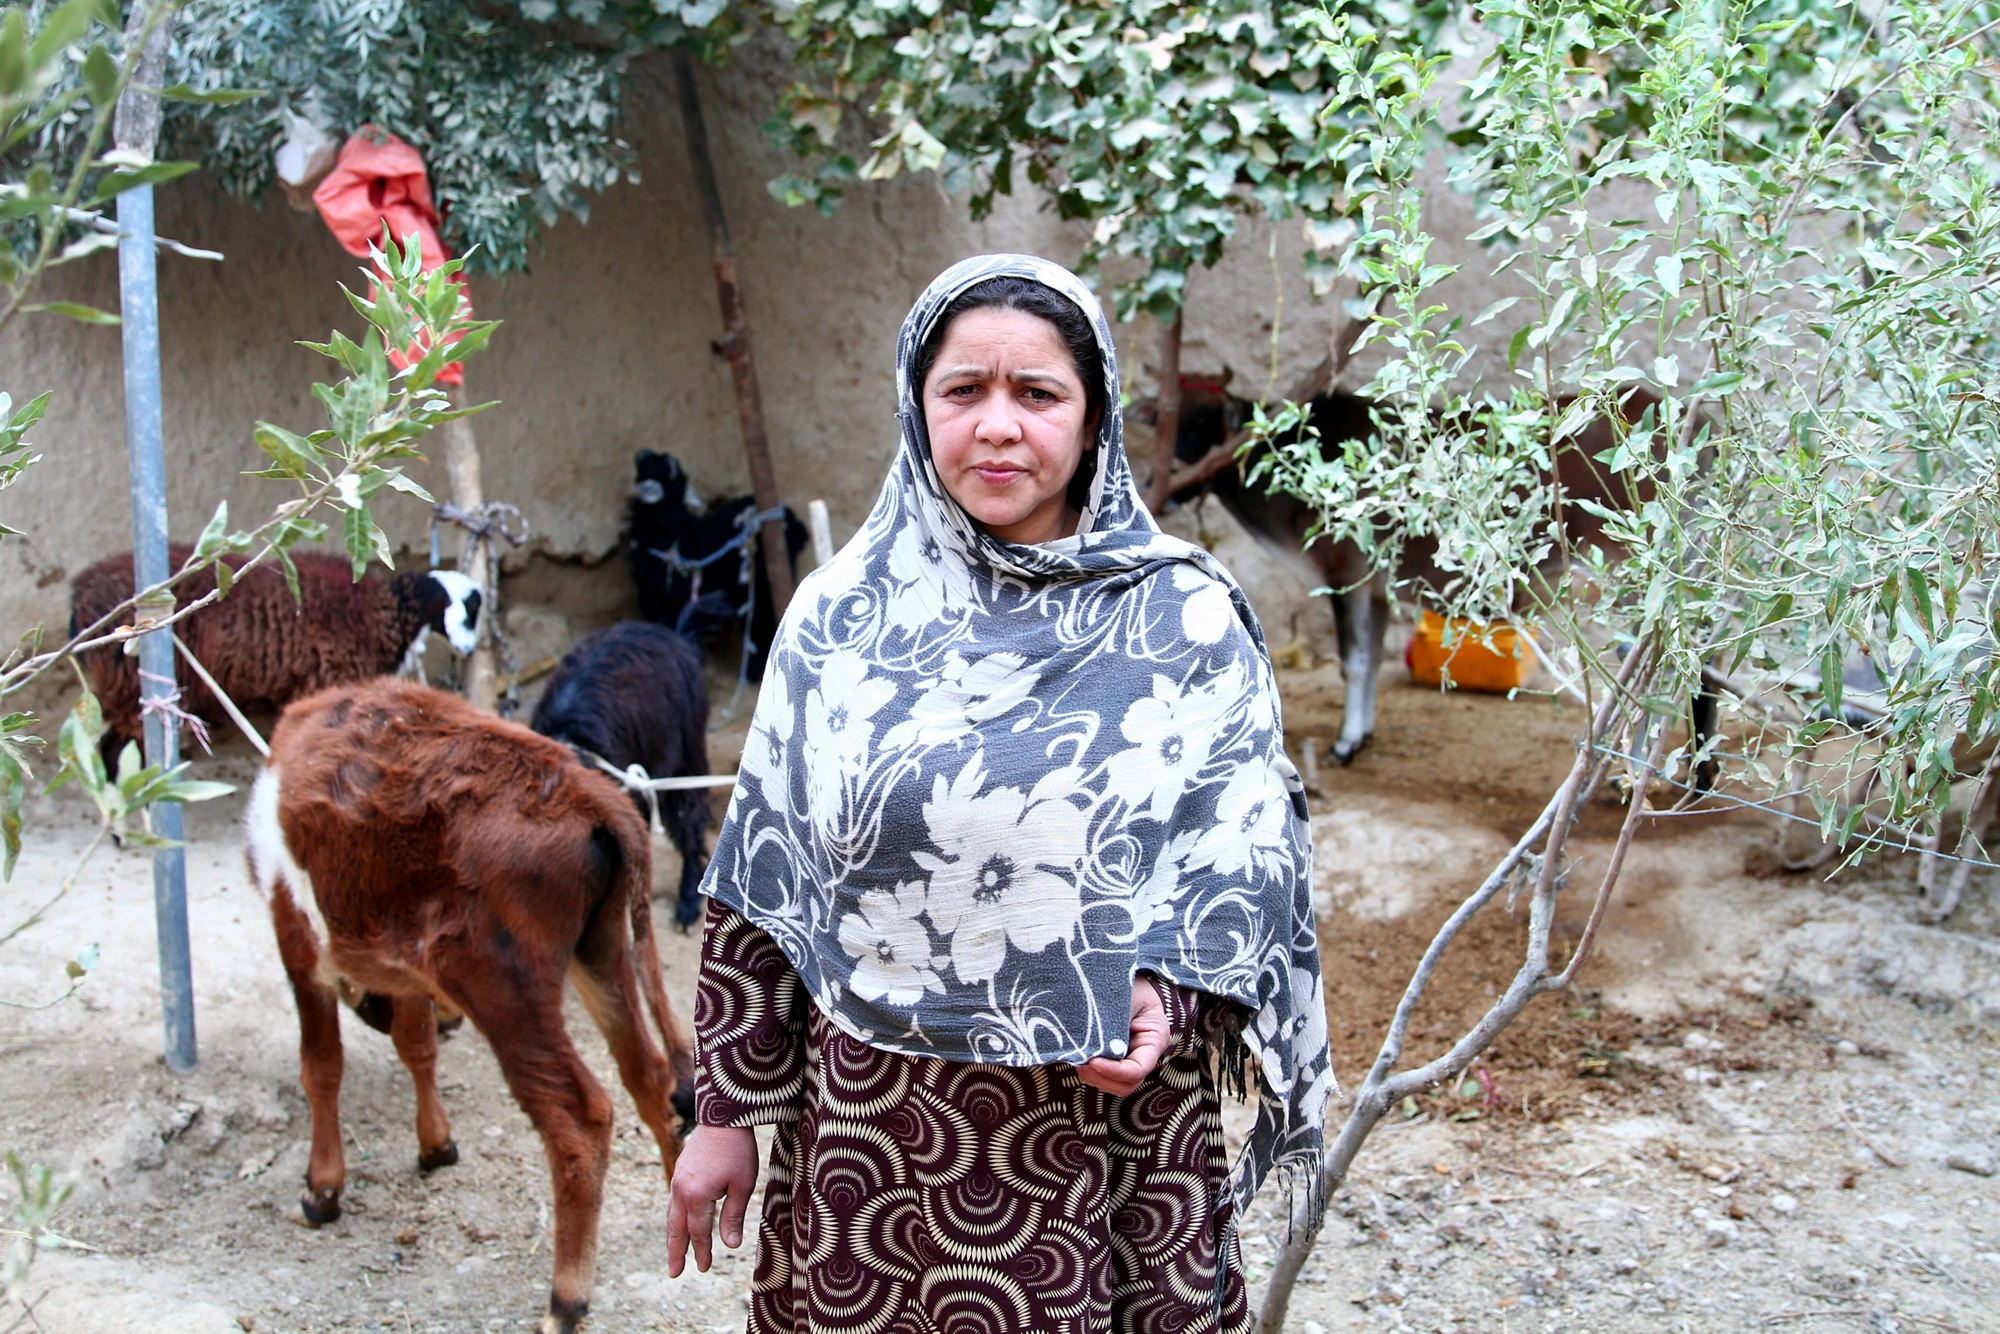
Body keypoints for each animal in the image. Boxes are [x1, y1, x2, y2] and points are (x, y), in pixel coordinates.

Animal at [248, 684, 696, 1328]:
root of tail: (592, 796)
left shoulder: (299, 946)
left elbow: (321, 1067)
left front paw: (322, 1188)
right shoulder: (405, 973)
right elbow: (416, 1046)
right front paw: (435, 1144)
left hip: (506, 992)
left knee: (581, 1116)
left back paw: (566, 1298)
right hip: (602, 952)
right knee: (650, 1076)